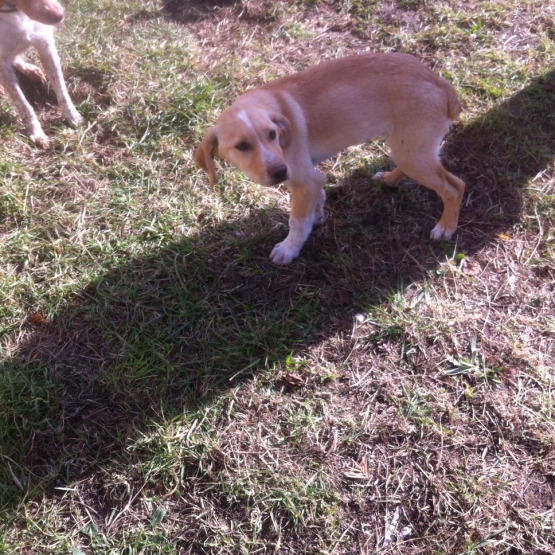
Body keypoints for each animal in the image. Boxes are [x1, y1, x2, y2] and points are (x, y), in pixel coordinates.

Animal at [0, 0, 83, 148]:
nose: (60, 15)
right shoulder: (2, 63)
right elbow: (22, 103)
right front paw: (36, 132)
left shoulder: (46, 43)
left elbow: (62, 92)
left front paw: (73, 116)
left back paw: (31, 70)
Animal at [195, 53, 464, 266]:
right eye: (242, 146)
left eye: (272, 134)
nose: (281, 172)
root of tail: (442, 84)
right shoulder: (312, 179)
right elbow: (317, 201)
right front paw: (317, 216)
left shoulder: (305, 180)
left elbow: (297, 221)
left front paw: (289, 249)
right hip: (406, 149)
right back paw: (388, 179)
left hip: (413, 152)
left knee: (455, 187)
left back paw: (445, 228)